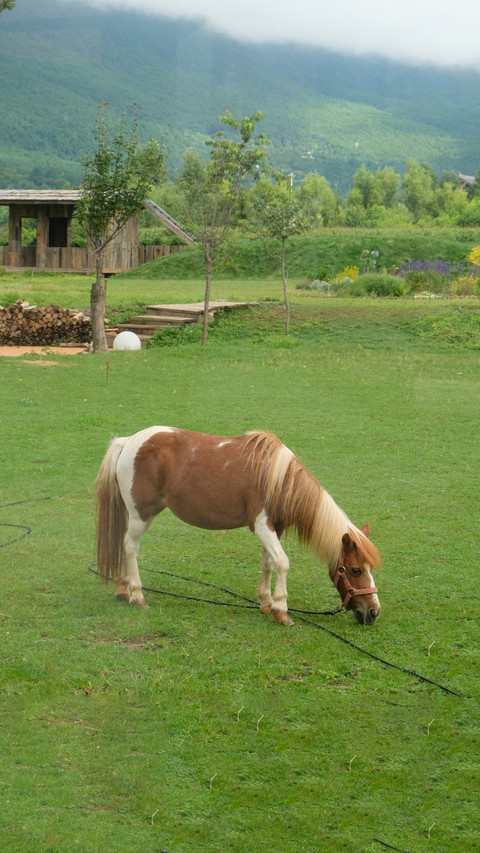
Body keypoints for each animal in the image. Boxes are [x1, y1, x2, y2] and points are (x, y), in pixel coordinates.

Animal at [95, 426, 381, 626]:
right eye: (355, 570)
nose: (373, 612)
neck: (279, 480)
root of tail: (128, 441)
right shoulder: (261, 526)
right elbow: (283, 562)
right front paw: (281, 610)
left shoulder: (273, 528)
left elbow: (268, 563)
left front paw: (266, 602)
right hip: (142, 514)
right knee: (130, 547)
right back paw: (137, 595)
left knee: (123, 544)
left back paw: (122, 591)